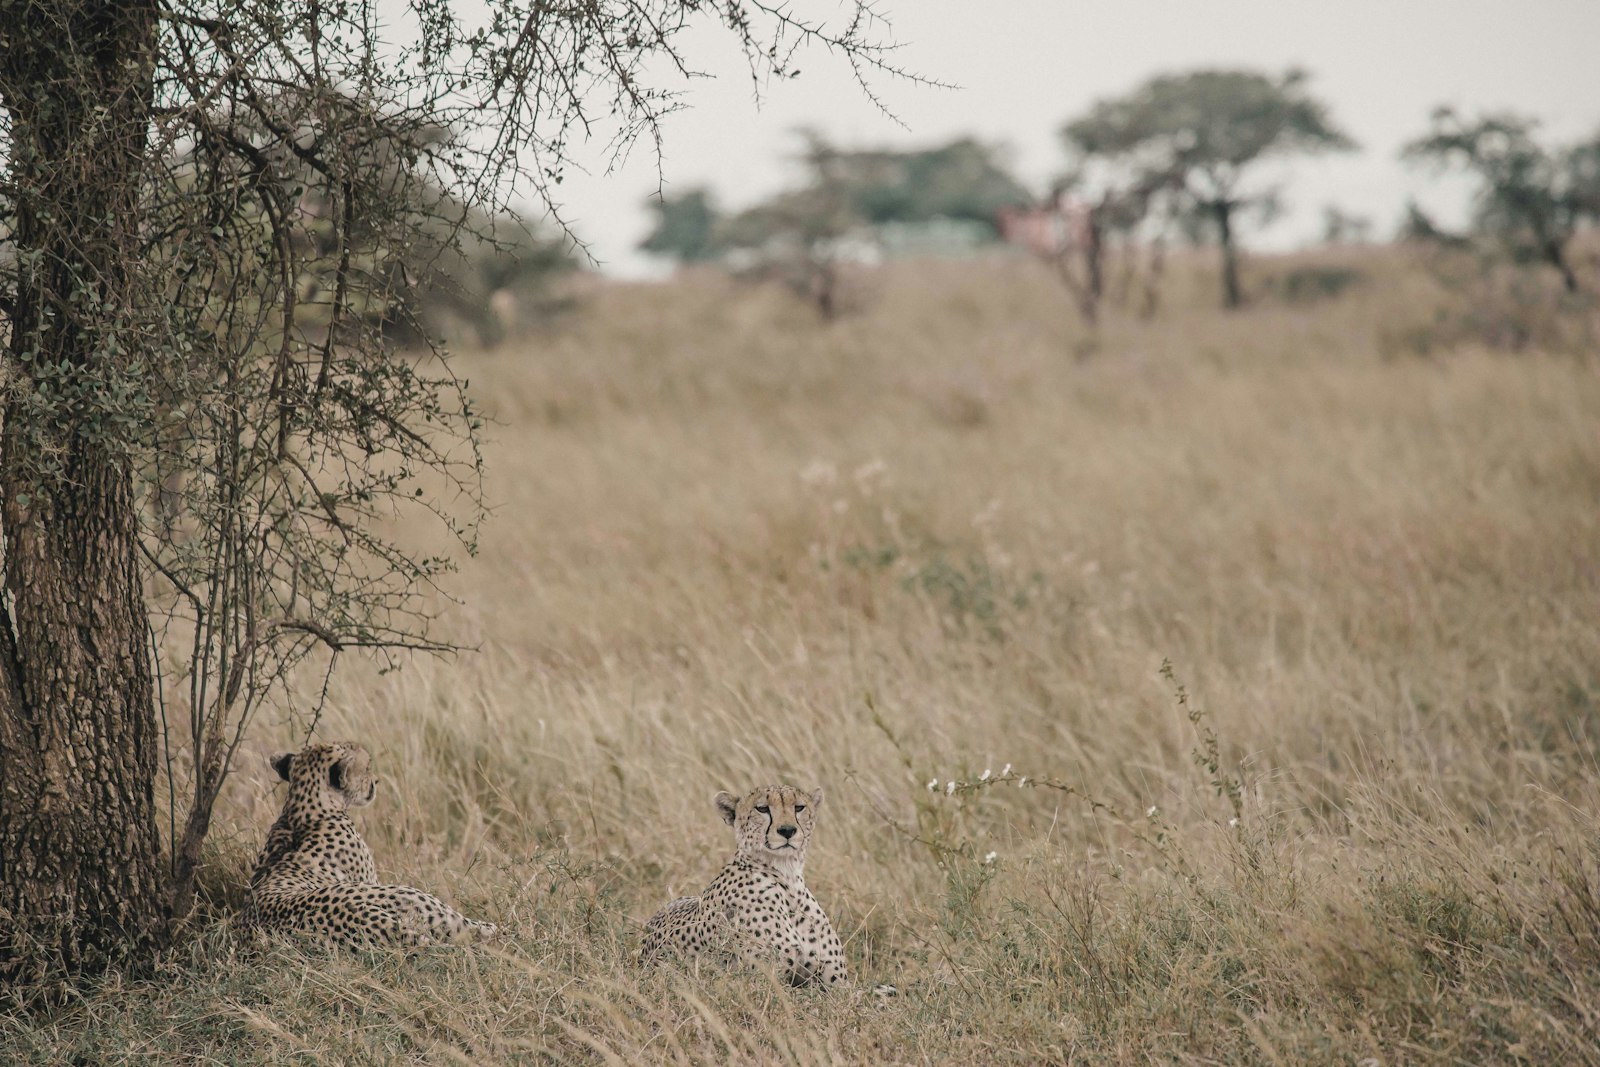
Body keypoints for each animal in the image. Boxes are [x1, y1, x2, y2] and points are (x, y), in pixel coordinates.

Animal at [636, 783, 851, 985]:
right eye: (762, 809)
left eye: (799, 807)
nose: (787, 830)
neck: (787, 878)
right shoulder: (764, 980)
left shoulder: (838, 984)